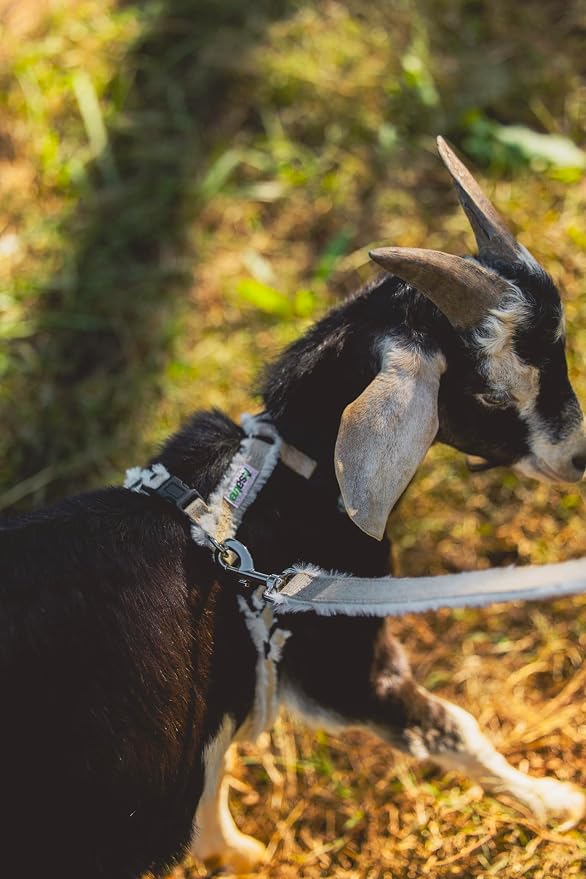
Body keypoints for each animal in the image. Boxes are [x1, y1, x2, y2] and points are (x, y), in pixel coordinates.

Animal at [1, 138, 585, 879]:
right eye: (488, 395)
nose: (580, 456)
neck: (280, 489)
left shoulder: (217, 706)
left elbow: (211, 774)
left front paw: (234, 850)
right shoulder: (337, 664)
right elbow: (452, 726)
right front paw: (553, 800)